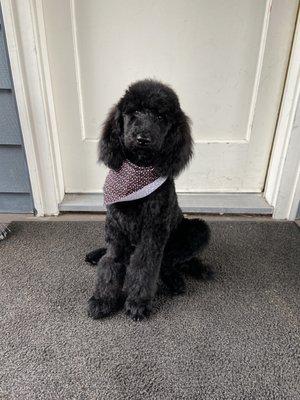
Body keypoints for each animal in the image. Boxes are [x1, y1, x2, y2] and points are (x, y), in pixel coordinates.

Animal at [86, 79, 212, 320]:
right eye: (133, 112)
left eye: (161, 117)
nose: (142, 138)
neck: (138, 168)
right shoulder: (115, 229)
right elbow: (110, 261)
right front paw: (103, 299)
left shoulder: (153, 232)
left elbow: (145, 265)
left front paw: (137, 302)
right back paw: (96, 254)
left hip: (197, 229)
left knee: (171, 262)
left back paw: (181, 278)